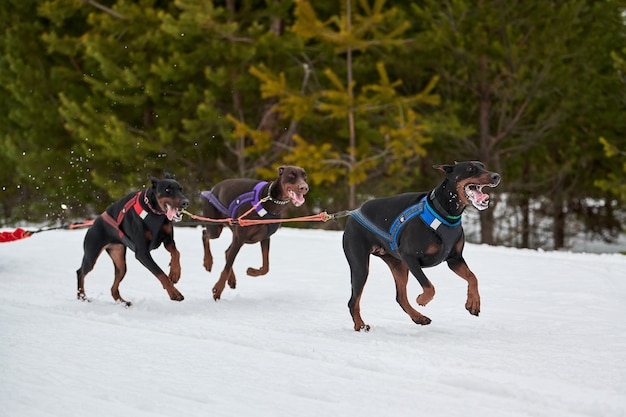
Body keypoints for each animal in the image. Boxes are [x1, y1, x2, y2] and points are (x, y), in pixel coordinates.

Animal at [76, 172, 188, 306]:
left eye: (180, 189)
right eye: (167, 190)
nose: (186, 202)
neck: (153, 211)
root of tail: (93, 223)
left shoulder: (168, 240)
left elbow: (176, 253)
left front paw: (175, 273)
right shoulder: (142, 253)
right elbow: (160, 273)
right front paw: (174, 293)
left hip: (120, 261)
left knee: (113, 286)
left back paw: (123, 302)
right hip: (91, 255)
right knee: (80, 272)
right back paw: (82, 296)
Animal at [200, 165, 308, 300]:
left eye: (304, 176)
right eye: (291, 175)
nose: (304, 187)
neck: (269, 201)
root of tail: (213, 189)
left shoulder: (265, 237)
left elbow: (266, 267)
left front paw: (252, 271)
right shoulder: (240, 237)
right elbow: (227, 267)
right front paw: (217, 290)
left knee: (227, 251)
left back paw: (231, 279)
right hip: (216, 227)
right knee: (205, 234)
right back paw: (208, 262)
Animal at [338, 161, 500, 330]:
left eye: (483, 166)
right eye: (470, 168)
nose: (496, 176)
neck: (444, 212)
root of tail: (354, 213)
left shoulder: (455, 259)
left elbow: (473, 277)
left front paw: (473, 303)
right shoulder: (409, 257)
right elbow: (429, 287)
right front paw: (422, 299)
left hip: (398, 265)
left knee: (400, 297)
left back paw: (419, 318)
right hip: (361, 265)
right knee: (353, 301)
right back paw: (360, 325)